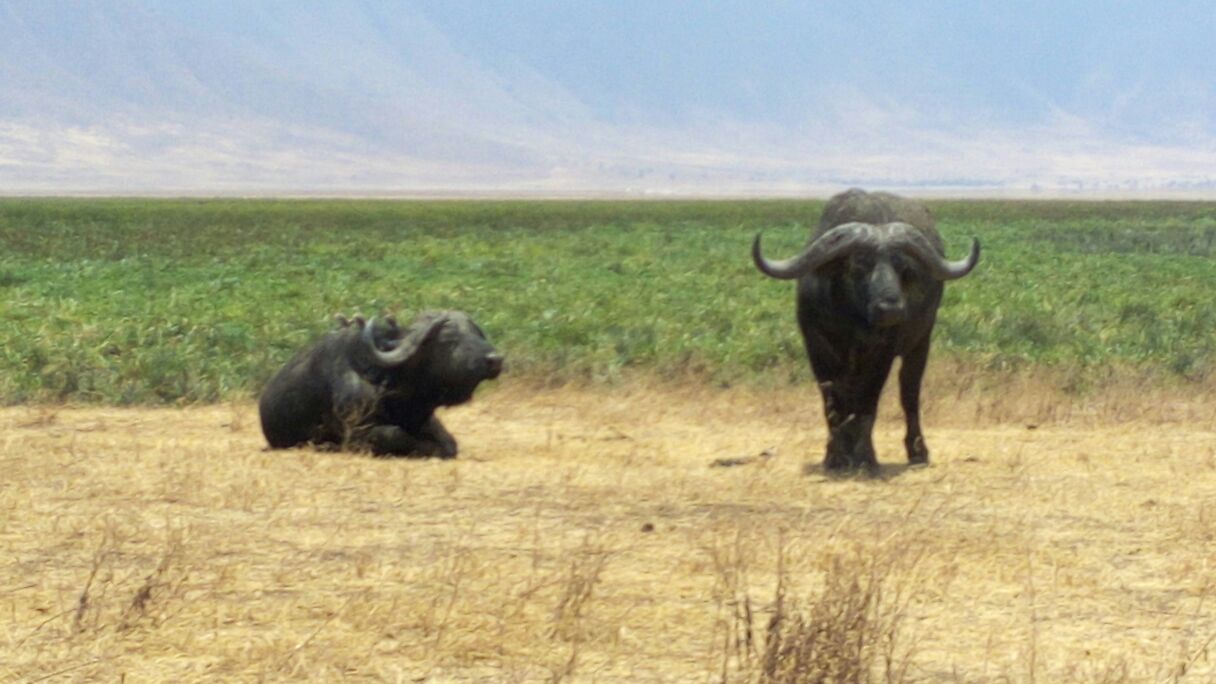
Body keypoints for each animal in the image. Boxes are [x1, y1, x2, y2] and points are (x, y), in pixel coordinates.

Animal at [259, 310, 503, 457]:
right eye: (449, 340)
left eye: (476, 333)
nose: (495, 359)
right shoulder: (356, 432)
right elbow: (395, 434)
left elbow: (450, 443)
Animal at [753, 189, 980, 471]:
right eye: (859, 266)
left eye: (902, 268)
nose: (891, 308)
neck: (852, 320)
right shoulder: (816, 346)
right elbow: (833, 401)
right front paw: (835, 456)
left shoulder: (881, 353)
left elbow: (867, 400)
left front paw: (864, 456)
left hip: (920, 344)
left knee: (909, 394)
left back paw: (917, 452)